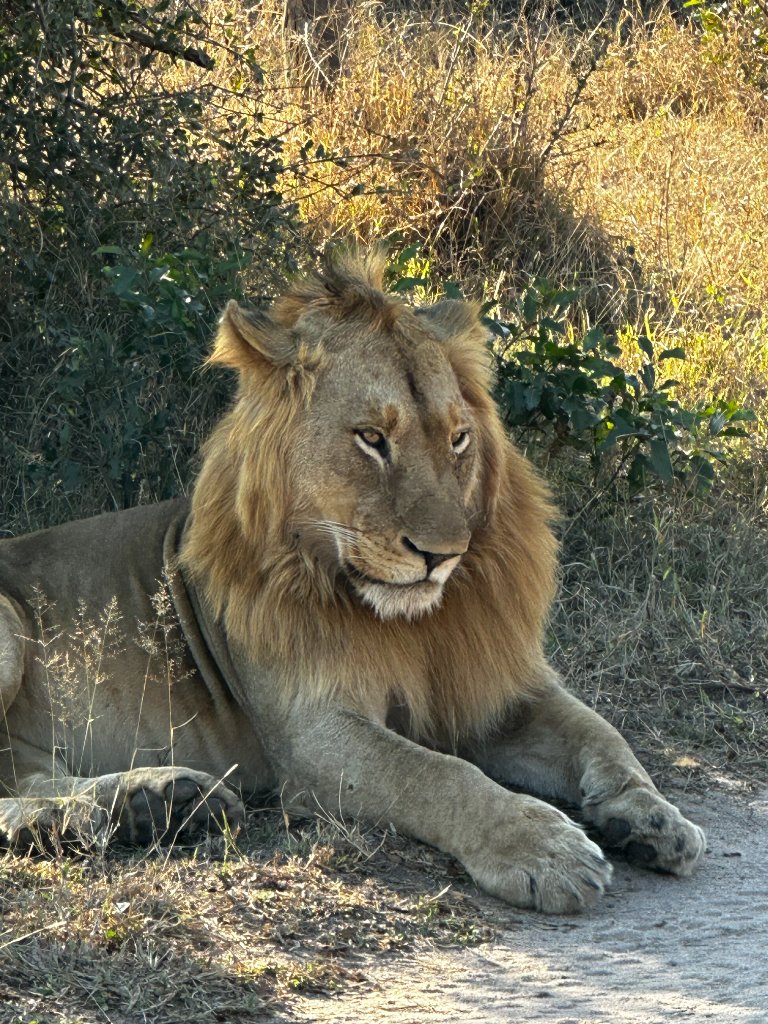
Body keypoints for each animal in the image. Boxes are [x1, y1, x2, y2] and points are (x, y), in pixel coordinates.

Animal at [0, 249, 704, 912]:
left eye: (458, 439)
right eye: (371, 438)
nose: (442, 555)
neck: (410, 624)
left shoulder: (493, 684)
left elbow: (601, 734)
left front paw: (653, 816)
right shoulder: (313, 736)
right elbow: (438, 774)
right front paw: (545, 848)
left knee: (23, 776)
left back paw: (158, 804)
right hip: (9, 626)